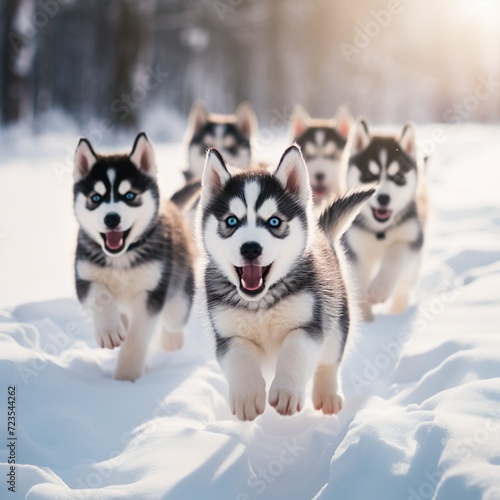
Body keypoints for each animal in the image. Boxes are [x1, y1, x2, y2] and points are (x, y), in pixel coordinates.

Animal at [73, 131, 196, 380]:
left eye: (129, 195)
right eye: (95, 198)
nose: (111, 218)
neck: (122, 255)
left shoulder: (152, 294)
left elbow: (137, 338)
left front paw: (126, 377)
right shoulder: (84, 277)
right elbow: (101, 296)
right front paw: (109, 330)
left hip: (178, 295)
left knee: (174, 321)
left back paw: (172, 344)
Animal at [196, 146, 376, 422]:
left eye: (274, 221)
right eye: (231, 221)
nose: (250, 248)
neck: (260, 302)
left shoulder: (309, 324)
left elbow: (295, 350)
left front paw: (285, 391)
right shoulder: (228, 334)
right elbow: (239, 357)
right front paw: (247, 397)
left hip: (337, 319)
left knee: (330, 359)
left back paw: (327, 394)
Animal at [340, 118, 430, 320]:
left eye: (398, 176)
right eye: (369, 175)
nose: (383, 198)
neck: (380, 231)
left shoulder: (411, 238)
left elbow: (394, 257)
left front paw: (378, 291)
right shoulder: (356, 250)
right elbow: (359, 282)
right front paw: (366, 319)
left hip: (411, 271)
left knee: (403, 289)